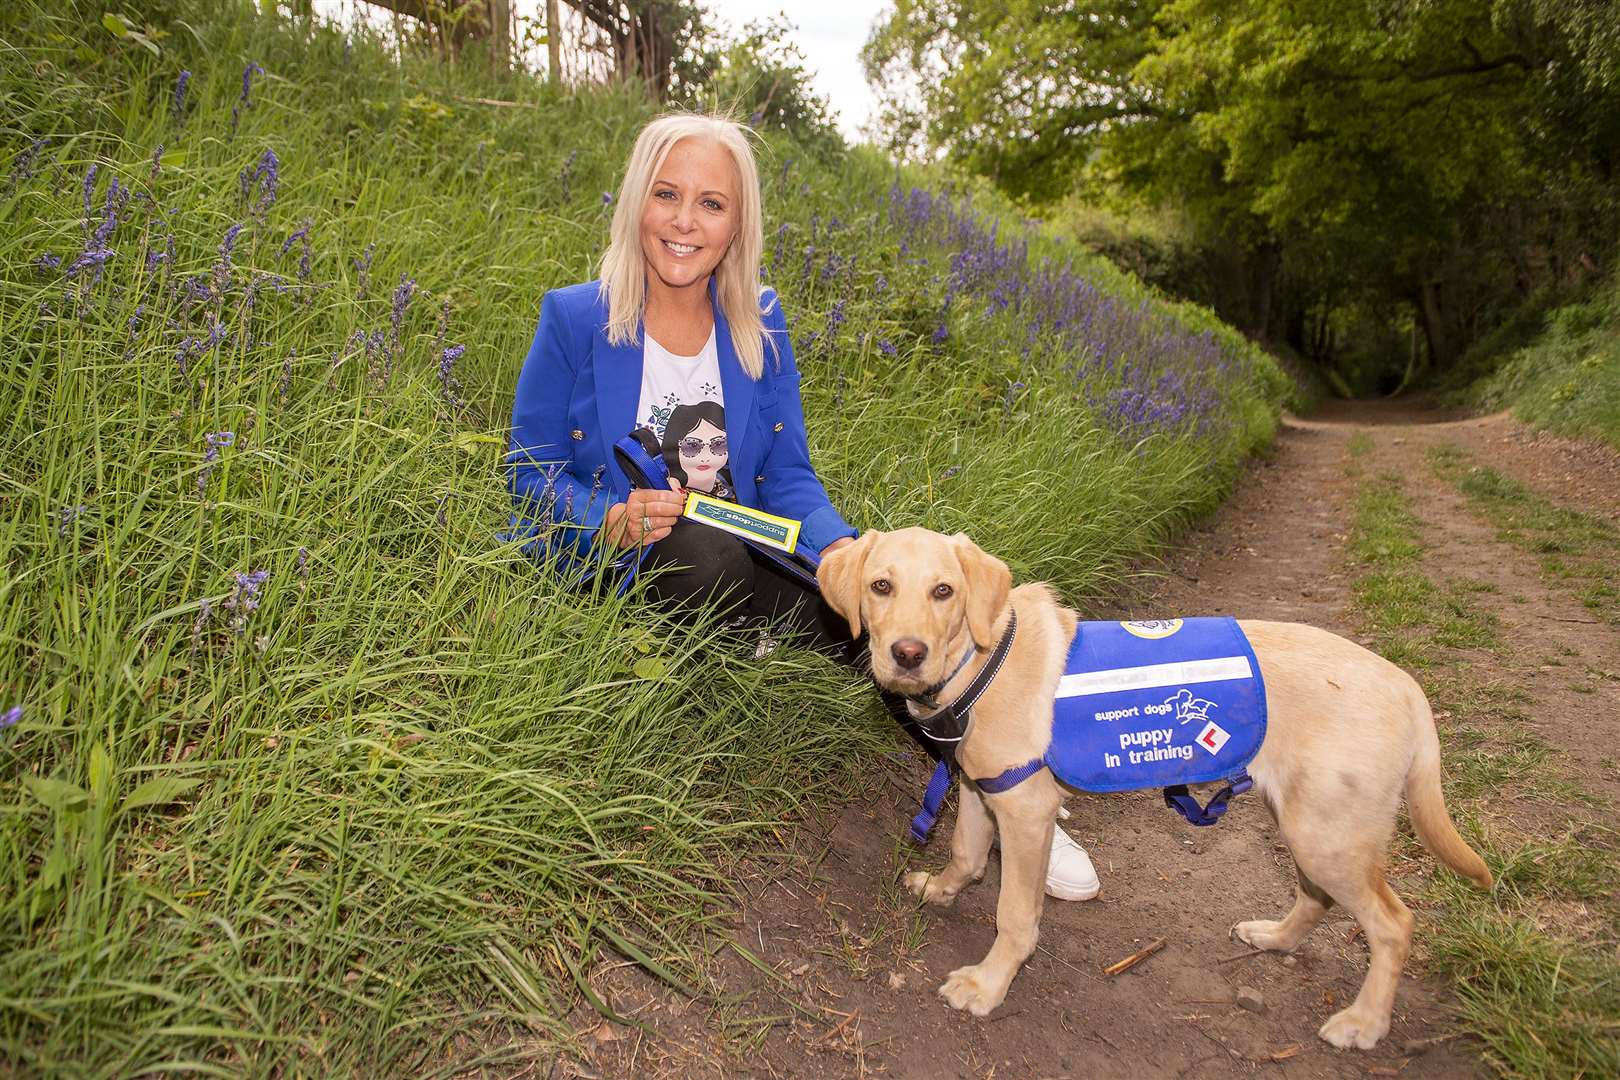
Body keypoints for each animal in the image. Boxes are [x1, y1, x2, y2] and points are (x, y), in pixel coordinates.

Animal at [822, 527, 1490, 1049]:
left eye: (944, 591)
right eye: (881, 587)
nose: (908, 654)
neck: (979, 660)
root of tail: (1404, 684)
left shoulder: (1027, 808)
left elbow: (1014, 914)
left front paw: (989, 984)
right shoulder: (981, 786)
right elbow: (965, 852)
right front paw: (942, 889)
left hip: (1330, 836)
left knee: (1393, 924)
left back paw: (1364, 1022)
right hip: (1307, 823)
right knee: (1316, 896)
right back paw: (1274, 938)